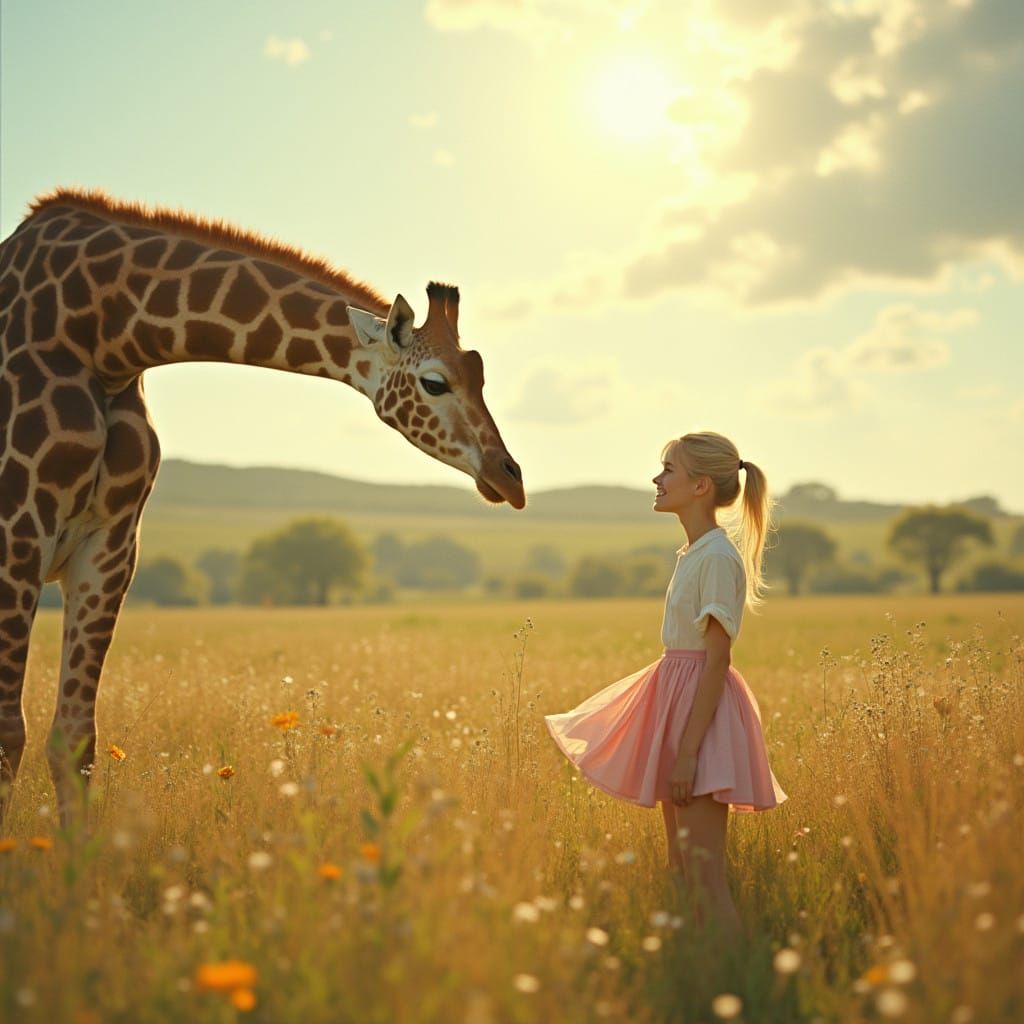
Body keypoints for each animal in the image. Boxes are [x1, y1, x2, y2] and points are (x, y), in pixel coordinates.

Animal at [0, 187, 525, 827]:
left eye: (481, 374)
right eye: (434, 382)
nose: (511, 478)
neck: (107, 335)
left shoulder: (109, 546)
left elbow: (75, 738)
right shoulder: (18, 531)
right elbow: (8, 735)